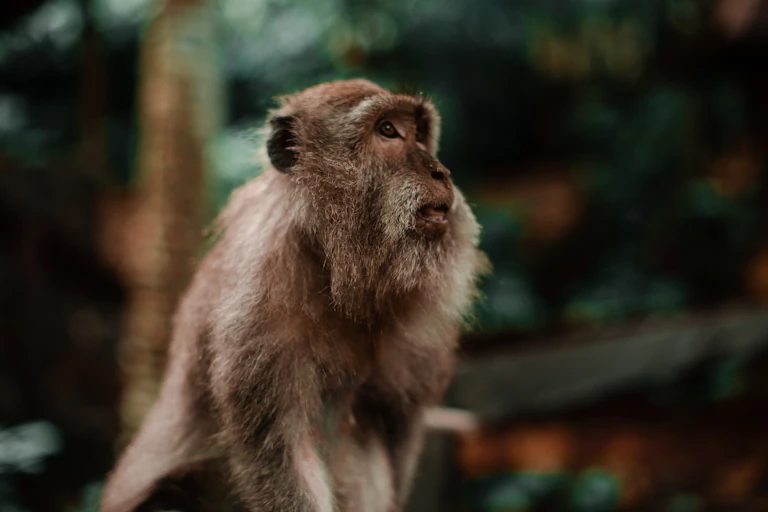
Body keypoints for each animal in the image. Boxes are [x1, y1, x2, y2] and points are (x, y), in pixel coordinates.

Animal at [101, 79, 490, 512]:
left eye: (420, 133)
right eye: (387, 130)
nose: (441, 171)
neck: (334, 265)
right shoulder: (260, 306)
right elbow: (283, 456)